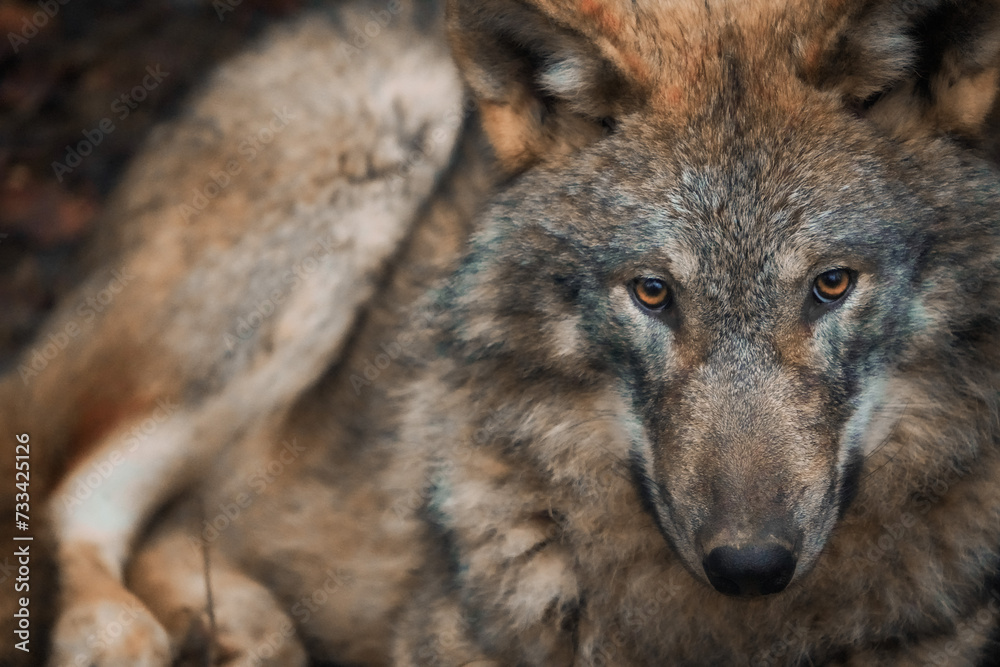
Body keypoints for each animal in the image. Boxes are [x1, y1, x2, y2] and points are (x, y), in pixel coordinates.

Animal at [5, 0, 1000, 664]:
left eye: (832, 284)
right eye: (652, 292)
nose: (750, 564)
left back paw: (239, 626)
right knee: (76, 492)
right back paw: (120, 634)